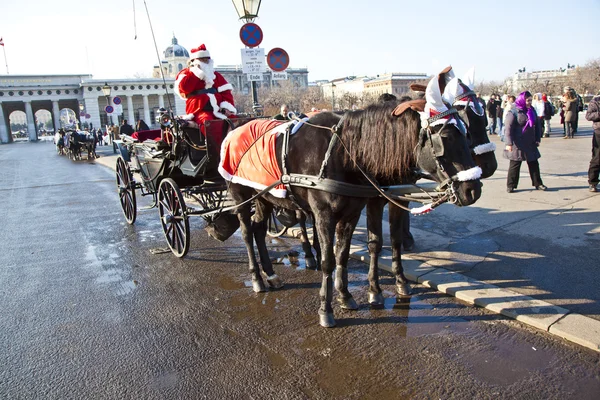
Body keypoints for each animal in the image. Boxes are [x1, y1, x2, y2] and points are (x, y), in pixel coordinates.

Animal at [227, 79, 480, 328]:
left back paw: (270, 274)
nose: (473, 190)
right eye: (444, 137)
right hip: (242, 196)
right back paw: (257, 278)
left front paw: (346, 295)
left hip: (264, 197)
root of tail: (237, 127)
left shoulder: (358, 210)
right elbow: (332, 259)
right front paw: (327, 308)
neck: (344, 152)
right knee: (247, 232)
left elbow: (347, 252)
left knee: (259, 229)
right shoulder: (329, 214)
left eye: (466, 132)